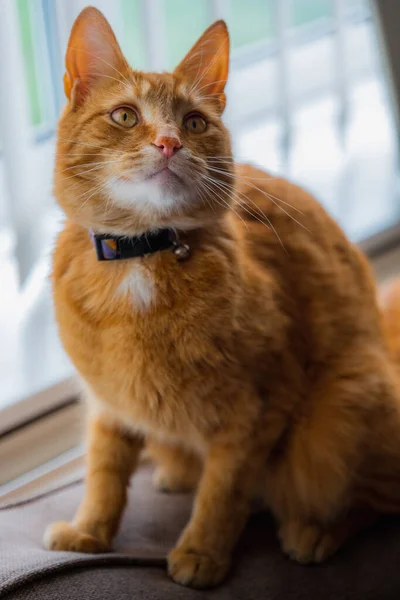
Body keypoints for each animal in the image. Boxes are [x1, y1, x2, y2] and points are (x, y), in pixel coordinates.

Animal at [44, 8, 400, 592]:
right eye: (125, 116)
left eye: (194, 123)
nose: (169, 142)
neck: (145, 255)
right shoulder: (107, 403)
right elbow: (104, 472)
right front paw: (89, 531)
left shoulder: (258, 409)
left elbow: (223, 490)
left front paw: (202, 552)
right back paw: (174, 473)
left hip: (340, 414)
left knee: (372, 496)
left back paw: (314, 531)